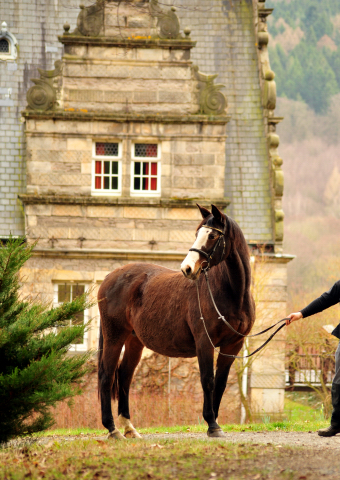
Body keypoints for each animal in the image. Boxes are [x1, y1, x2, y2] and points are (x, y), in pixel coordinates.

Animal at [97, 203, 254, 438]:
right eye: (197, 233)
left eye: (212, 235)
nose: (187, 269)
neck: (232, 292)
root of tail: (110, 277)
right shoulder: (204, 342)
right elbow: (207, 381)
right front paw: (212, 424)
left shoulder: (232, 345)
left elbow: (220, 383)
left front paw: (215, 423)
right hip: (114, 336)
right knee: (107, 376)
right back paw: (113, 429)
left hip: (134, 341)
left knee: (124, 376)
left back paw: (129, 427)